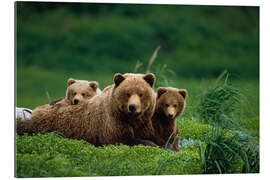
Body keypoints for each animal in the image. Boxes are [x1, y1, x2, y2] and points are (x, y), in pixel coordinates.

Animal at [16, 72, 159, 147]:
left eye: (141, 94)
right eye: (127, 93)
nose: (133, 107)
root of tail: (37, 109)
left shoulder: (145, 124)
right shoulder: (111, 125)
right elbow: (122, 141)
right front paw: (149, 143)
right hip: (47, 122)